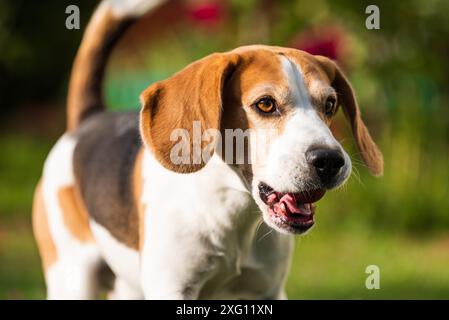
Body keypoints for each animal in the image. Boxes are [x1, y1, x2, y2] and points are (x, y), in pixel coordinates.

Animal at [32, 0, 382, 300]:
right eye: (265, 104)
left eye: (330, 105)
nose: (330, 161)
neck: (232, 209)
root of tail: (89, 119)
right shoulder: (172, 289)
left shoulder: (268, 290)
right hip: (71, 278)